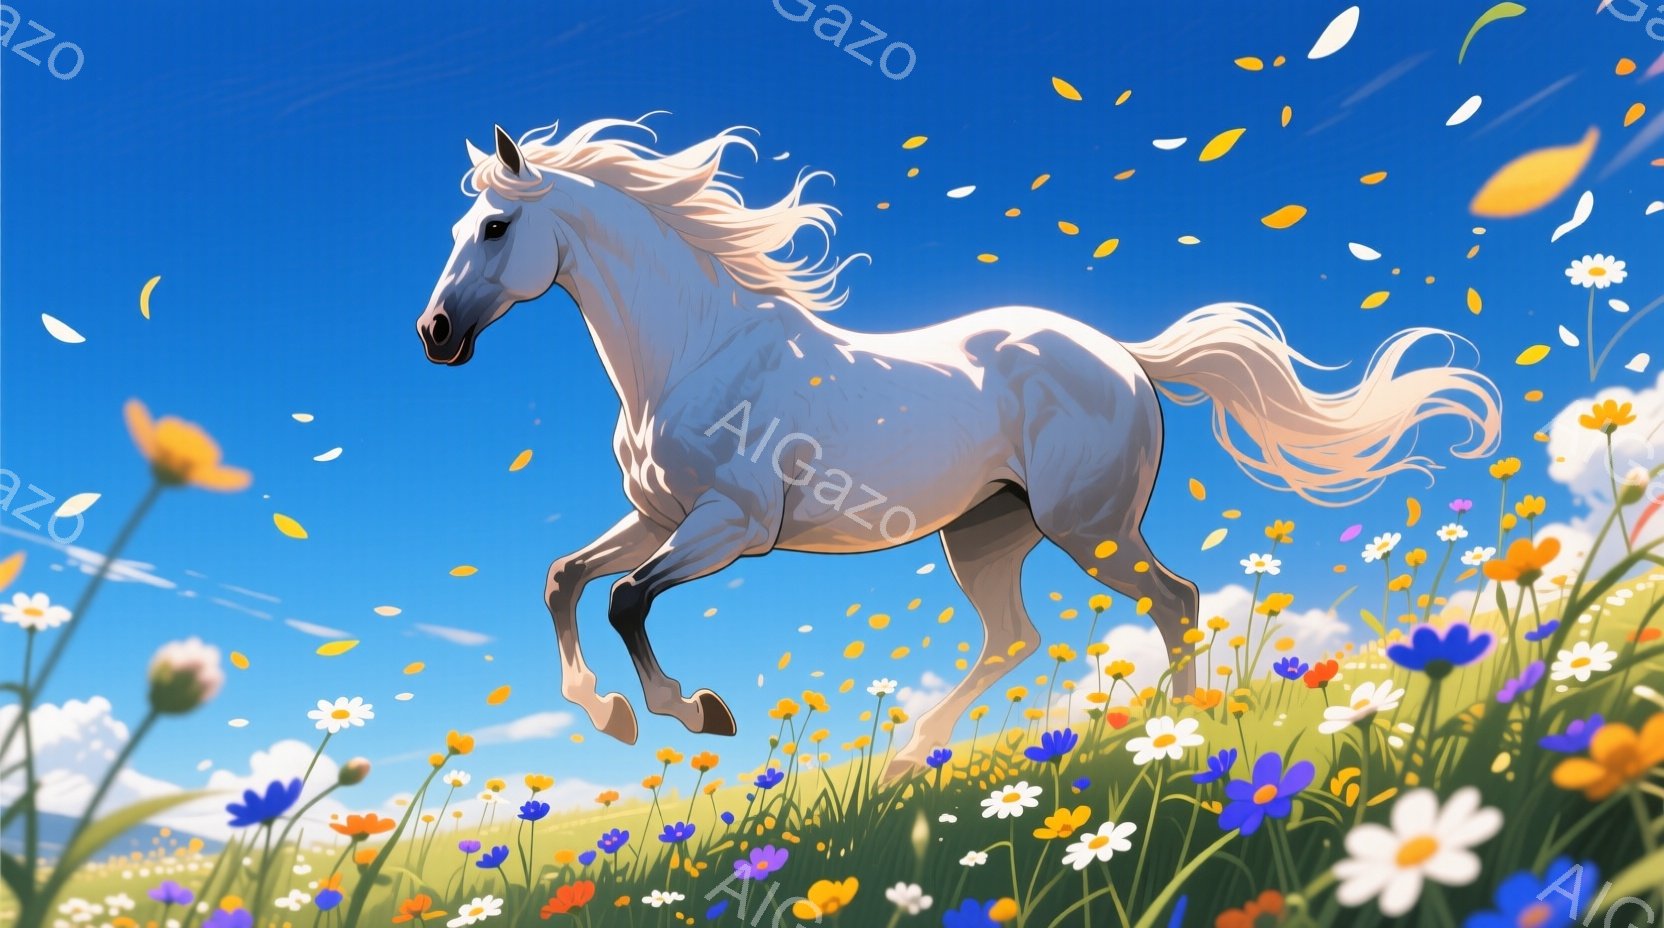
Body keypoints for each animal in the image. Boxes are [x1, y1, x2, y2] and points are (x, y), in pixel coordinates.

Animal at [415, 116, 1502, 777]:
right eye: (460, 227)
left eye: (496, 226)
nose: (434, 335)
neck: (693, 351)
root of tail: (1125, 355)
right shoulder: (657, 516)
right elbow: (565, 579)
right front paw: (609, 713)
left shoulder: (732, 526)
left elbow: (628, 601)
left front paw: (697, 711)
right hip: (986, 532)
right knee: (1015, 636)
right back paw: (909, 758)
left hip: (1088, 526)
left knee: (1177, 601)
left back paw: (1177, 738)